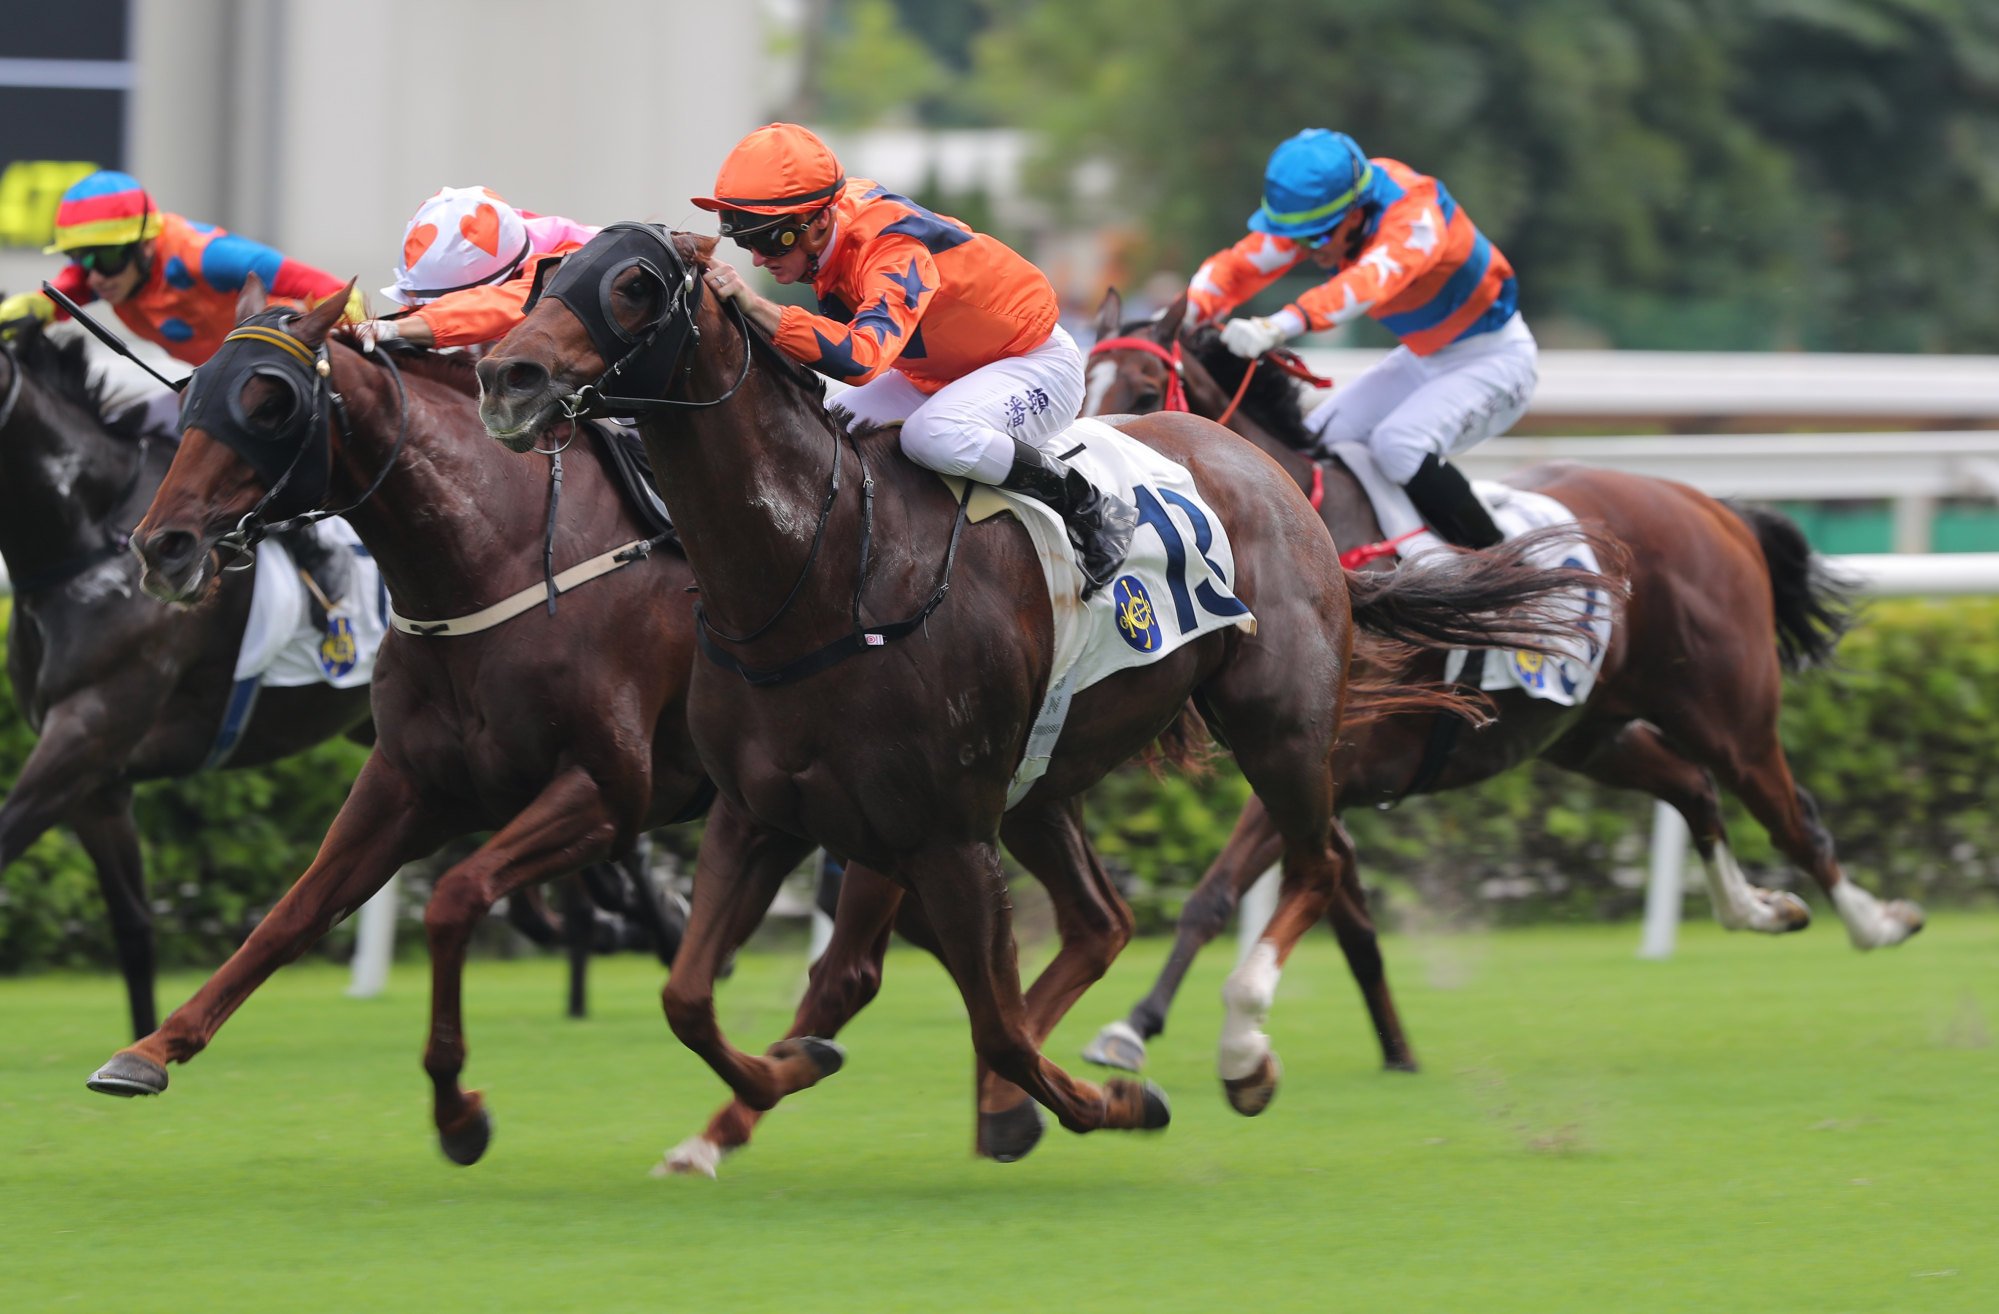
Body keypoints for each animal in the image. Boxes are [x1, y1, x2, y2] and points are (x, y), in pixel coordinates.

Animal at [87, 284, 727, 1160]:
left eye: (270, 401)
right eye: (193, 391)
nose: (163, 548)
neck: (497, 562)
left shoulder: (607, 791)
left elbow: (455, 897)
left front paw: (457, 1110)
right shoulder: (408, 785)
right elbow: (290, 915)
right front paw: (150, 1047)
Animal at [471, 218, 1607, 1168]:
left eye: (631, 284)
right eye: (543, 276)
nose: (504, 374)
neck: (819, 568)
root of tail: (1264, 470)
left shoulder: (938, 831)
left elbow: (996, 1024)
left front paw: (1111, 1101)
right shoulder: (760, 814)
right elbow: (689, 998)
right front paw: (776, 1080)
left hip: (1278, 727)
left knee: (1315, 863)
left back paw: (1239, 1052)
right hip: (1044, 776)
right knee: (1103, 918)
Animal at [1079, 290, 1919, 1080]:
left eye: (1146, 388)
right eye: (1082, 380)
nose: (1095, 500)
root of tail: (1713, 507)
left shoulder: (1316, 761)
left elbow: (1217, 893)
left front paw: (1133, 1028)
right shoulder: (1316, 777)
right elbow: (1345, 918)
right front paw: (1390, 1050)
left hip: (1728, 715)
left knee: (1790, 817)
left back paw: (1875, 923)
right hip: (1587, 732)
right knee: (1693, 790)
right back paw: (1761, 910)